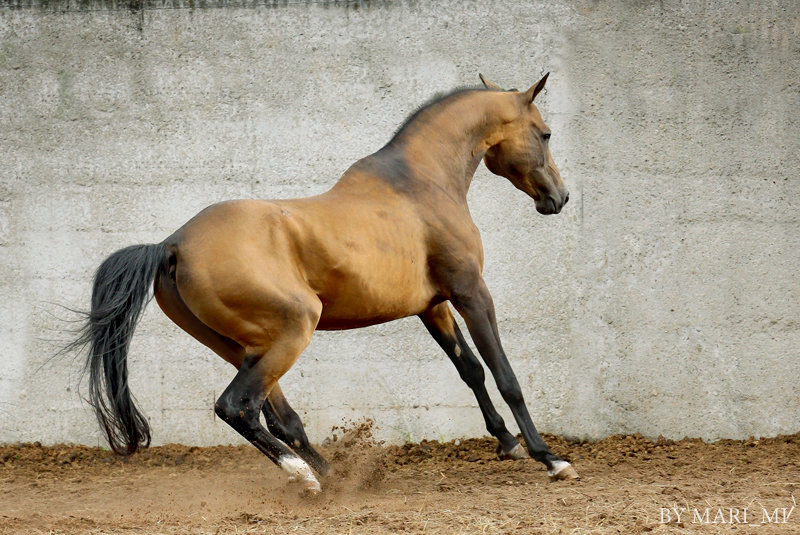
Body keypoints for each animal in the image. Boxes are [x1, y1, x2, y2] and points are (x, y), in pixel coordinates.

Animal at [69, 72, 580, 494]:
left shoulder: (431, 305)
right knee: (238, 406)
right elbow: (505, 374)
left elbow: (470, 370)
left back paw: (330, 475)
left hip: (246, 347)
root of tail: (172, 244)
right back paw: (307, 478)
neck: (419, 185)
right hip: (294, 328)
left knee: (281, 419)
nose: (559, 197)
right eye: (545, 134)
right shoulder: (471, 292)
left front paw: (507, 443)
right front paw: (549, 458)